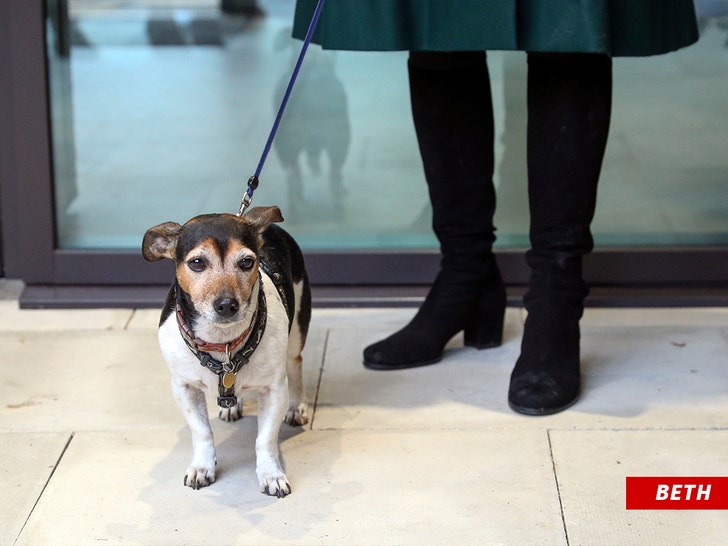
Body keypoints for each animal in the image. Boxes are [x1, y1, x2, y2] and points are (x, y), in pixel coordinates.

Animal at [142, 206, 310, 496]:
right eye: (197, 262)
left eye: (246, 262)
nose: (226, 304)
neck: (222, 343)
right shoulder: (184, 388)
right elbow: (202, 432)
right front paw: (202, 467)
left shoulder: (274, 391)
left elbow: (265, 439)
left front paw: (271, 474)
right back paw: (232, 407)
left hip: (297, 330)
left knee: (295, 364)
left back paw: (296, 407)